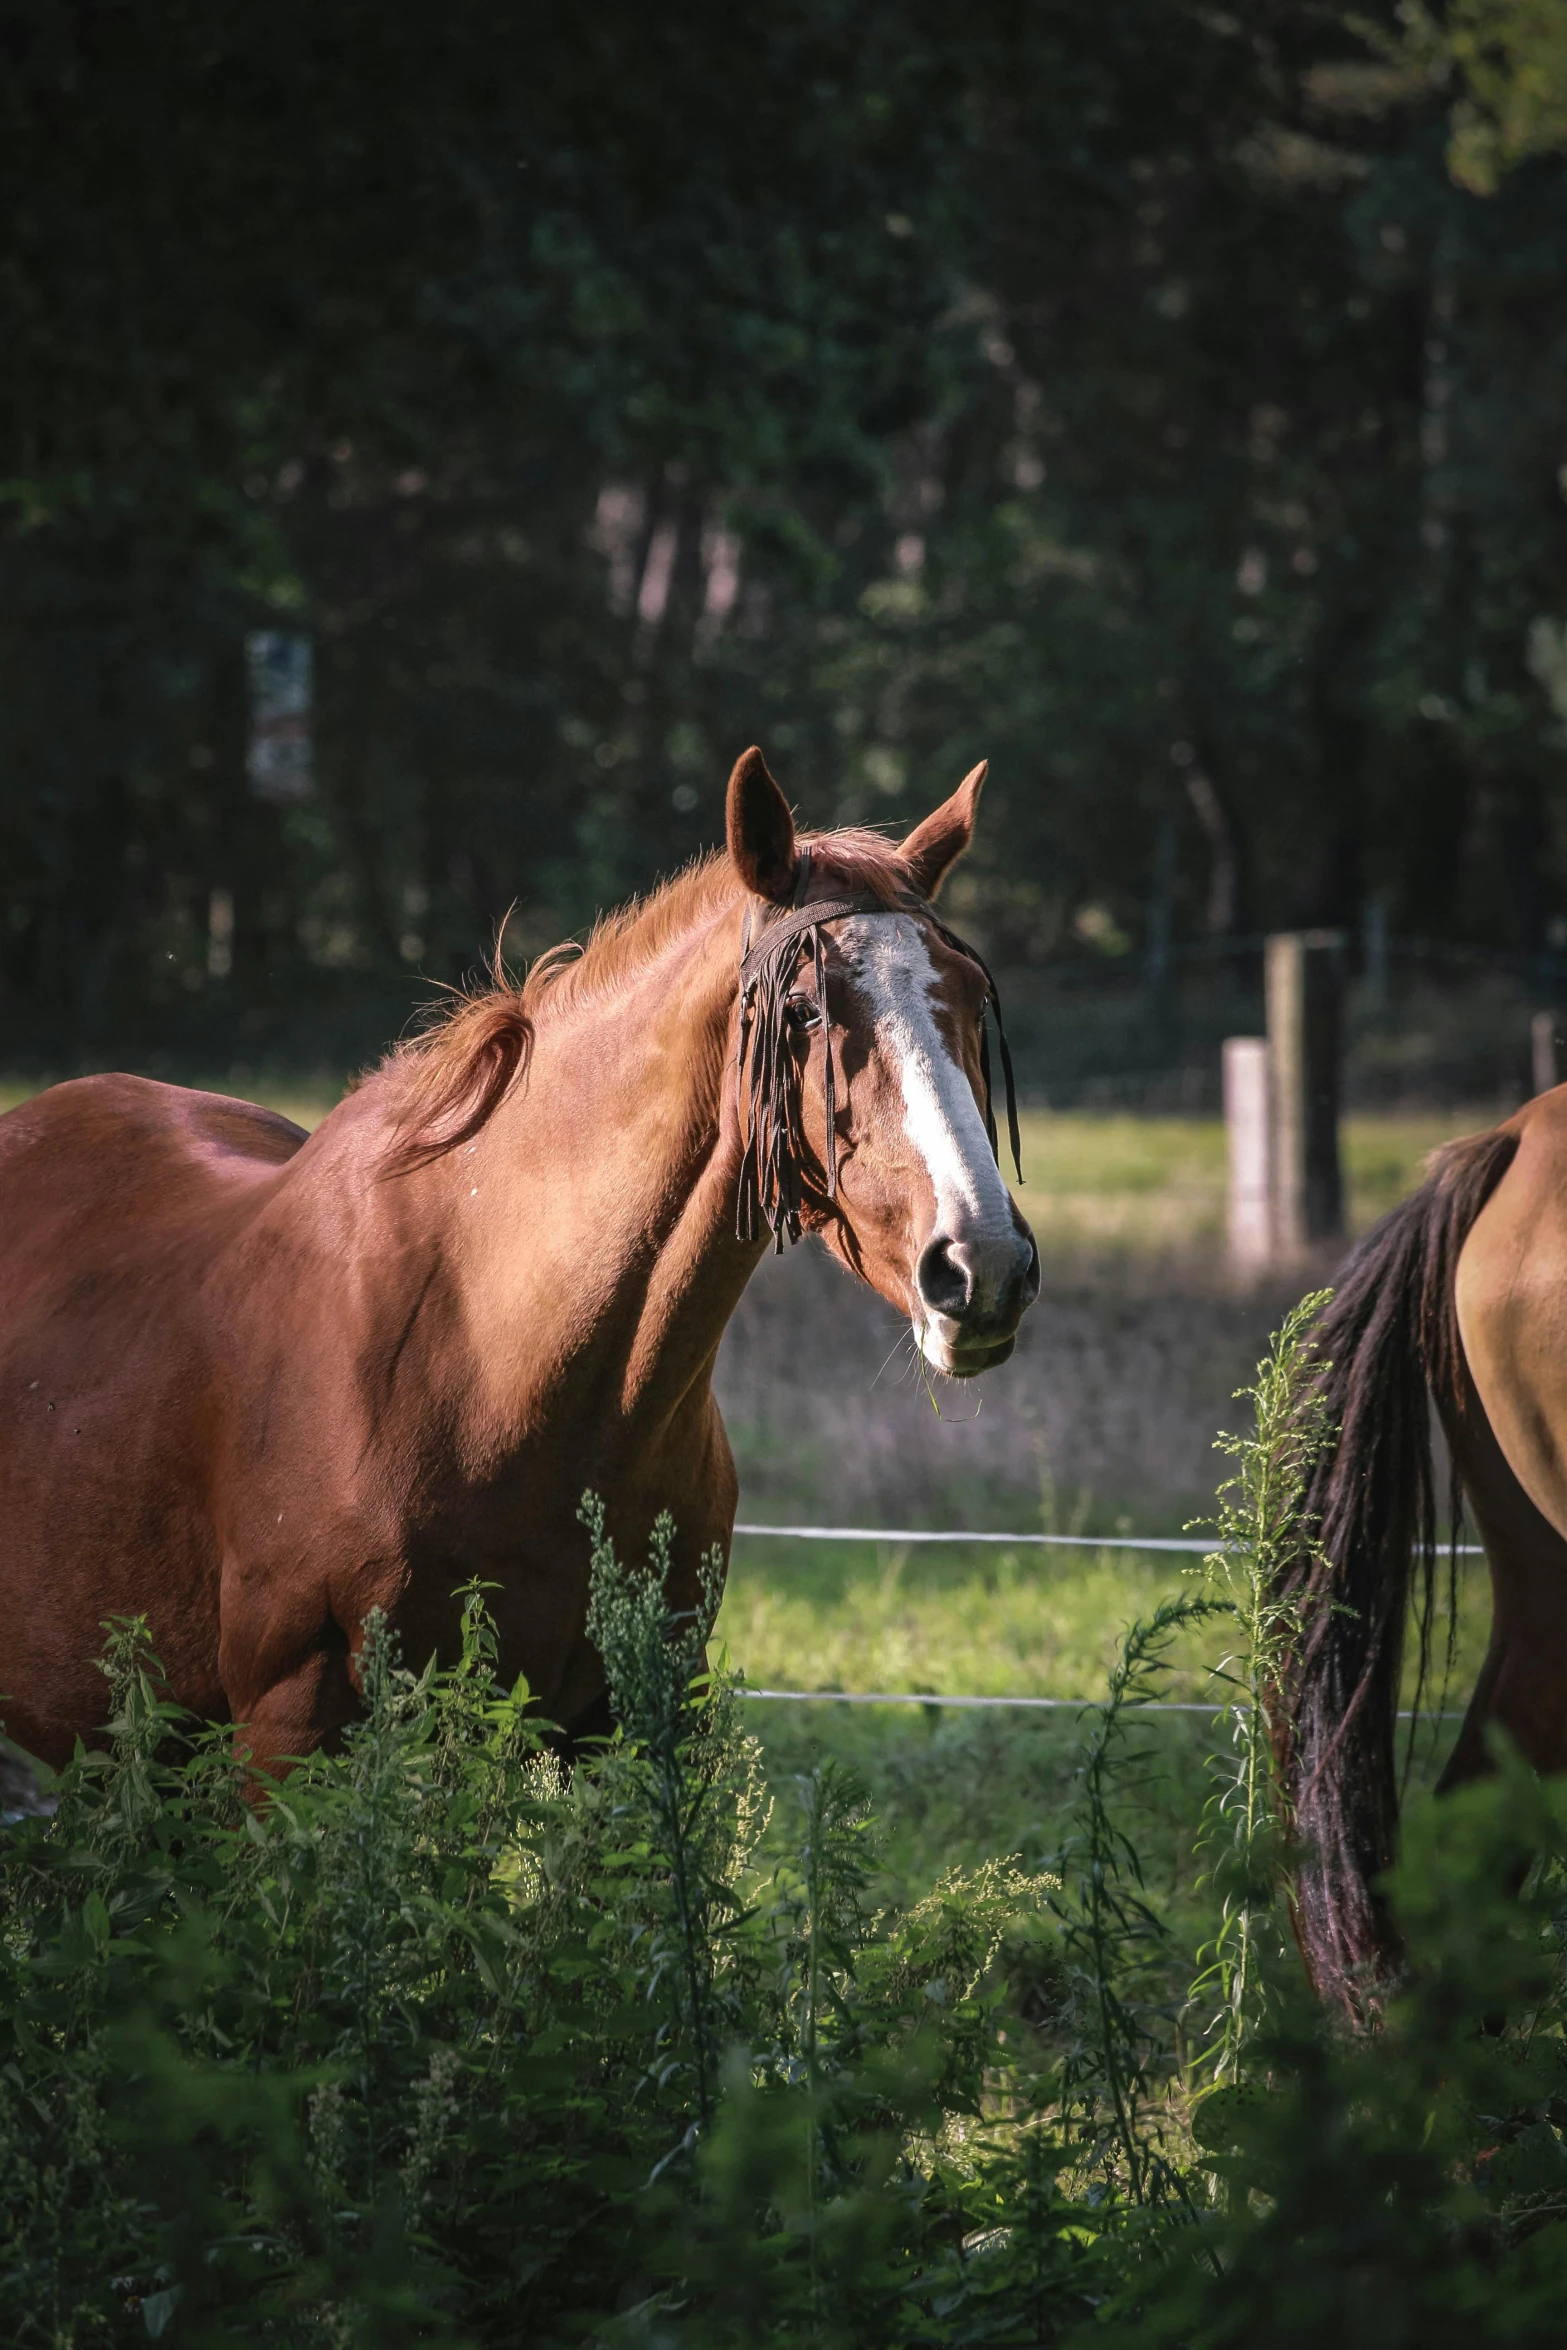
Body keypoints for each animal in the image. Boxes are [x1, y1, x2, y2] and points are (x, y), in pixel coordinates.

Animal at [0, 761, 1043, 1767]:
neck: (489, 1357)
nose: (982, 1264)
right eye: (801, 1010)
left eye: (969, 997)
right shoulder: (290, 1735)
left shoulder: (632, 1720)